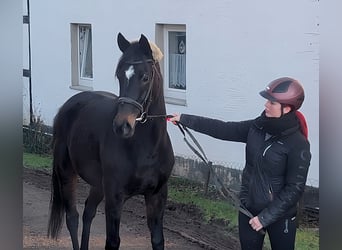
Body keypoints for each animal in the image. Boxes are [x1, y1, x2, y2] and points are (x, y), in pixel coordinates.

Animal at [47, 33, 175, 250]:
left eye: (145, 77)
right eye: (120, 75)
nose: (122, 126)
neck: (147, 149)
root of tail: (68, 106)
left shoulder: (157, 196)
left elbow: (158, 240)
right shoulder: (115, 197)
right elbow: (112, 241)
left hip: (98, 185)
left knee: (88, 212)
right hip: (66, 173)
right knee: (72, 217)